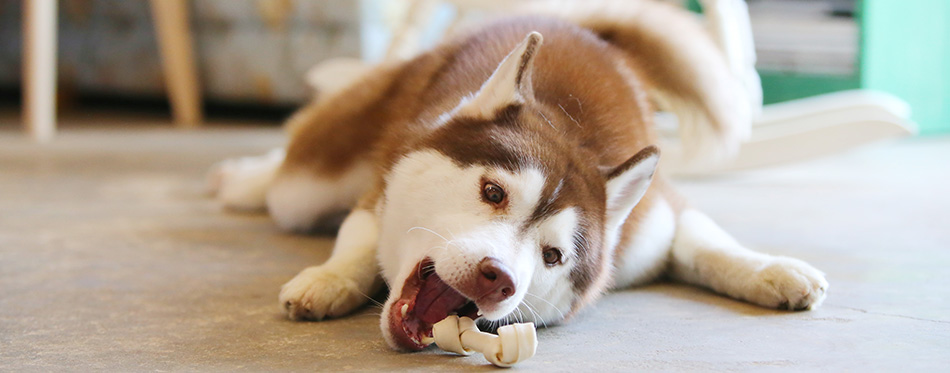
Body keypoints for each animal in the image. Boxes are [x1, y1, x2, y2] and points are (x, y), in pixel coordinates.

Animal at [210, 0, 824, 350]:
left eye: (553, 256)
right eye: (492, 191)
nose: (496, 278)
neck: (574, 129)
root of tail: (572, 23)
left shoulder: (651, 224)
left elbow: (708, 241)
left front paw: (772, 269)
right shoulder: (376, 191)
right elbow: (358, 240)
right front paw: (330, 277)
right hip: (313, 179)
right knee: (292, 171)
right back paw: (243, 177)